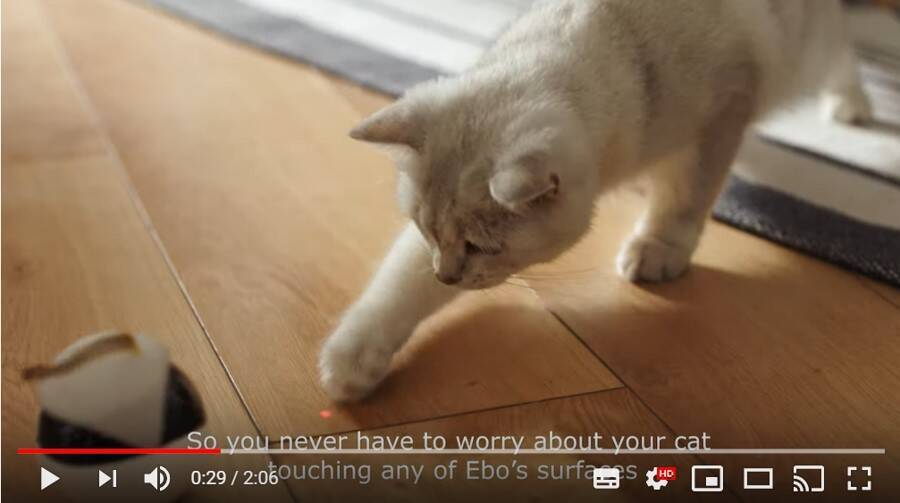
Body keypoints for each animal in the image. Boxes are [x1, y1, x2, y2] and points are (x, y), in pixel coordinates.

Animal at [319, 0, 872, 401]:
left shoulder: (718, 118)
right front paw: (353, 359)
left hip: (806, 46)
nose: (446, 276)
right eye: (426, 231)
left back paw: (851, 104)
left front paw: (658, 249)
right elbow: (398, 286)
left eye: (481, 248)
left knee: (842, 53)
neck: (622, 47)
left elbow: (683, 200)